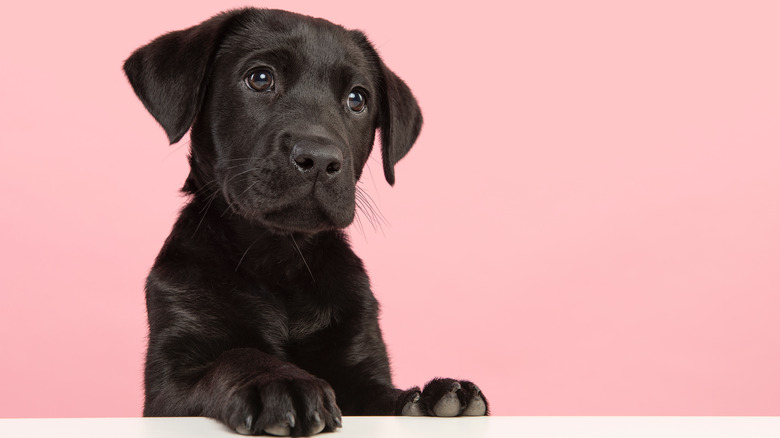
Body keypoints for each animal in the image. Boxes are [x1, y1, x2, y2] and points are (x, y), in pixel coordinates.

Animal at [123, 7, 488, 438]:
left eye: (357, 98)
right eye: (260, 78)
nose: (320, 158)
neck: (281, 260)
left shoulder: (362, 371)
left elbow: (386, 396)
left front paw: (433, 397)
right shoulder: (168, 387)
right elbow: (235, 357)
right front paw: (279, 381)